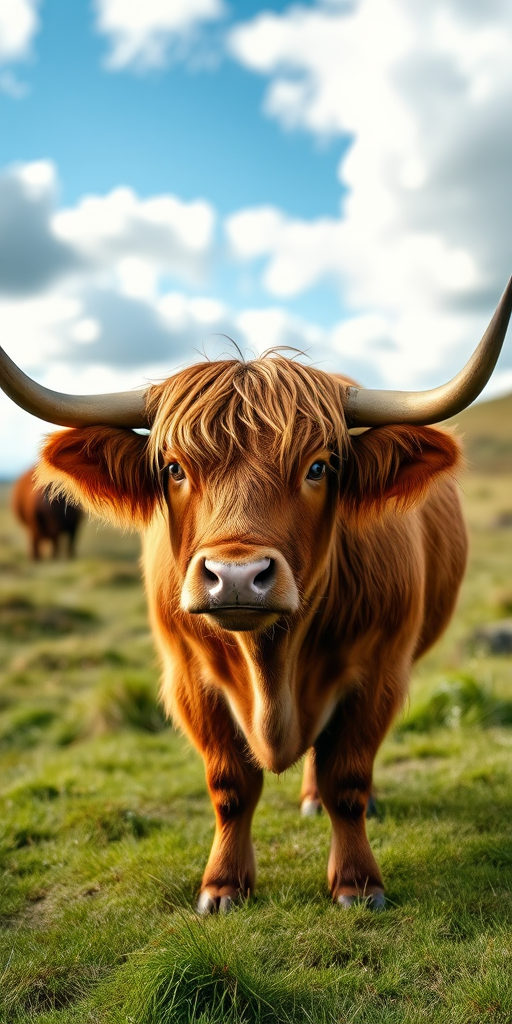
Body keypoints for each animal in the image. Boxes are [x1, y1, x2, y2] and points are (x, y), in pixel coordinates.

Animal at [0, 278, 511, 912]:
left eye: (319, 467)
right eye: (174, 468)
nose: (237, 575)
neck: (273, 667)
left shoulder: (379, 669)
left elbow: (347, 777)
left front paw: (358, 882)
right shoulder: (189, 677)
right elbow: (230, 785)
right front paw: (223, 886)